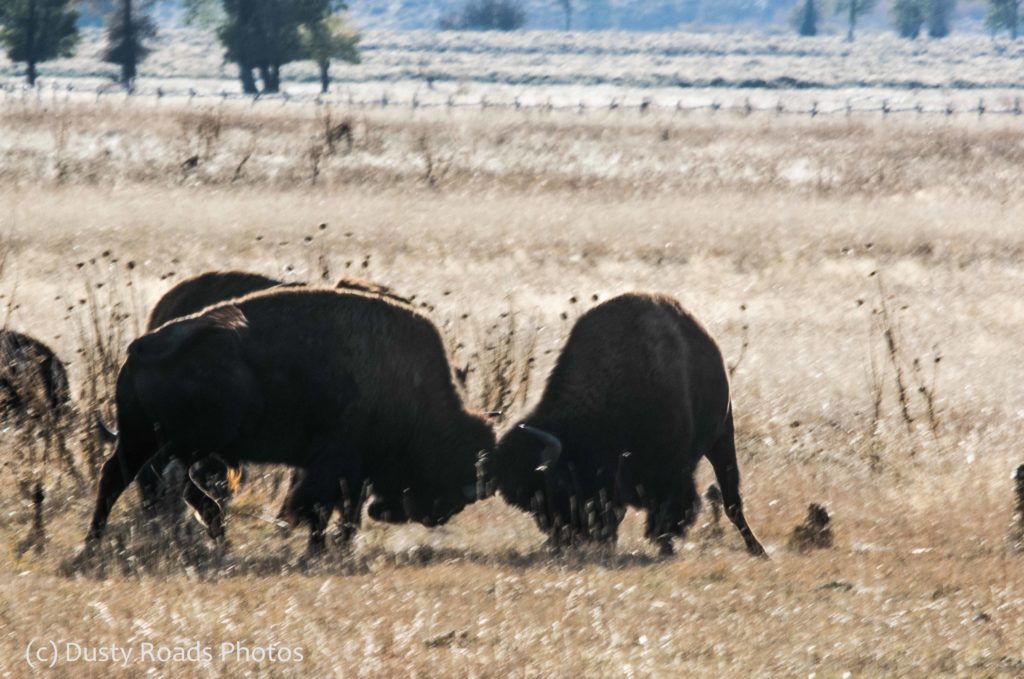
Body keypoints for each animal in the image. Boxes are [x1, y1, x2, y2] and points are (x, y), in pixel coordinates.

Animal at [84, 288, 493, 556]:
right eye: (449, 464)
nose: (437, 514)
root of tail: (142, 346)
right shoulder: (337, 463)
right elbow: (322, 507)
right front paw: (319, 548)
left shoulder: (349, 471)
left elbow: (343, 509)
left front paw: (336, 546)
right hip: (162, 444)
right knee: (122, 480)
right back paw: (96, 541)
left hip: (158, 443)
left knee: (158, 484)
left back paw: (215, 535)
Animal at [485, 292, 765, 557]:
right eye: (529, 503)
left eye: (556, 487)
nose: (562, 536)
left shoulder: (670, 471)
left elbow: (668, 509)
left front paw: (664, 543)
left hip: (722, 436)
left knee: (731, 500)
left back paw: (757, 549)